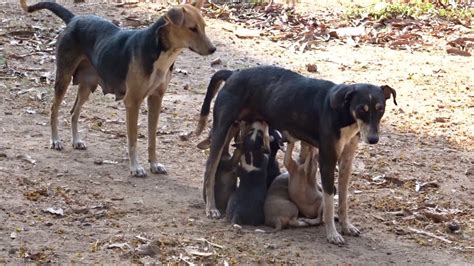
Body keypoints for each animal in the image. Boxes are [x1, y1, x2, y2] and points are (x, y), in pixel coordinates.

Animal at [19, 0, 217, 178]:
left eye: (204, 27)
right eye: (192, 28)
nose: (213, 49)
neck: (160, 51)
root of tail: (74, 19)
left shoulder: (156, 98)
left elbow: (152, 139)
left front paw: (154, 164)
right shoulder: (133, 102)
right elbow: (133, 139)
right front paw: (135, 168)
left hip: (87, 85)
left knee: (74, 112)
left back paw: (76, 141)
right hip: (64, 78)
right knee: (54, 109)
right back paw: (55, 141)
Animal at [195, 66, 396, 245]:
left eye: (380, 109)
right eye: (362, 109)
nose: (373, 139)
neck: (343, 114)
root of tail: (232, 73)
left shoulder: (347, 161)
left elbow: (343, 199)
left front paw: (347, 226)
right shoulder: (327, 161)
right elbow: (329, 201)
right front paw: (332, 234)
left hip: (238, 127)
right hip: (222, 129)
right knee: (210, 169)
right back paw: (211, 207)